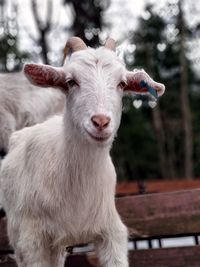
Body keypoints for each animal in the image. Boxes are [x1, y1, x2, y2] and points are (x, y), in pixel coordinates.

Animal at [0, 37, 165, 267]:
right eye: (71, 81)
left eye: (122, 84)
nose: (101, 121)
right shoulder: (33, 239)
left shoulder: (111, 231)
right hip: (18, 232)